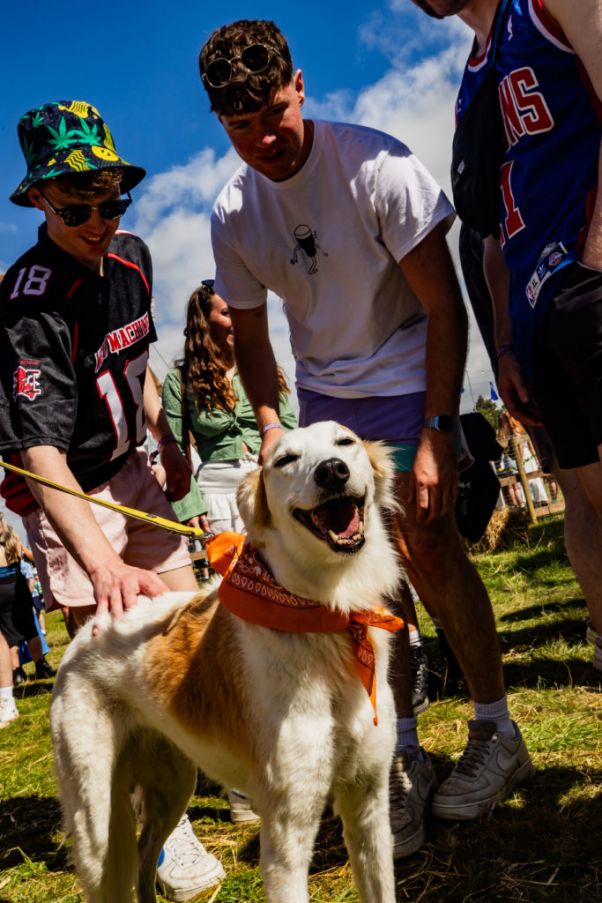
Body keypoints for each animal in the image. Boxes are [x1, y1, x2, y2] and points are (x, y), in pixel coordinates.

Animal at [49, 424, 400, 903]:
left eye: (345, 442)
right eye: (285, 460)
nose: (332, 471)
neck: (328, 615)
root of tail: (87, 631)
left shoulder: (369, 807)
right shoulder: (286, 838)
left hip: (172, 785)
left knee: (144, 858)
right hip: (97, 826)